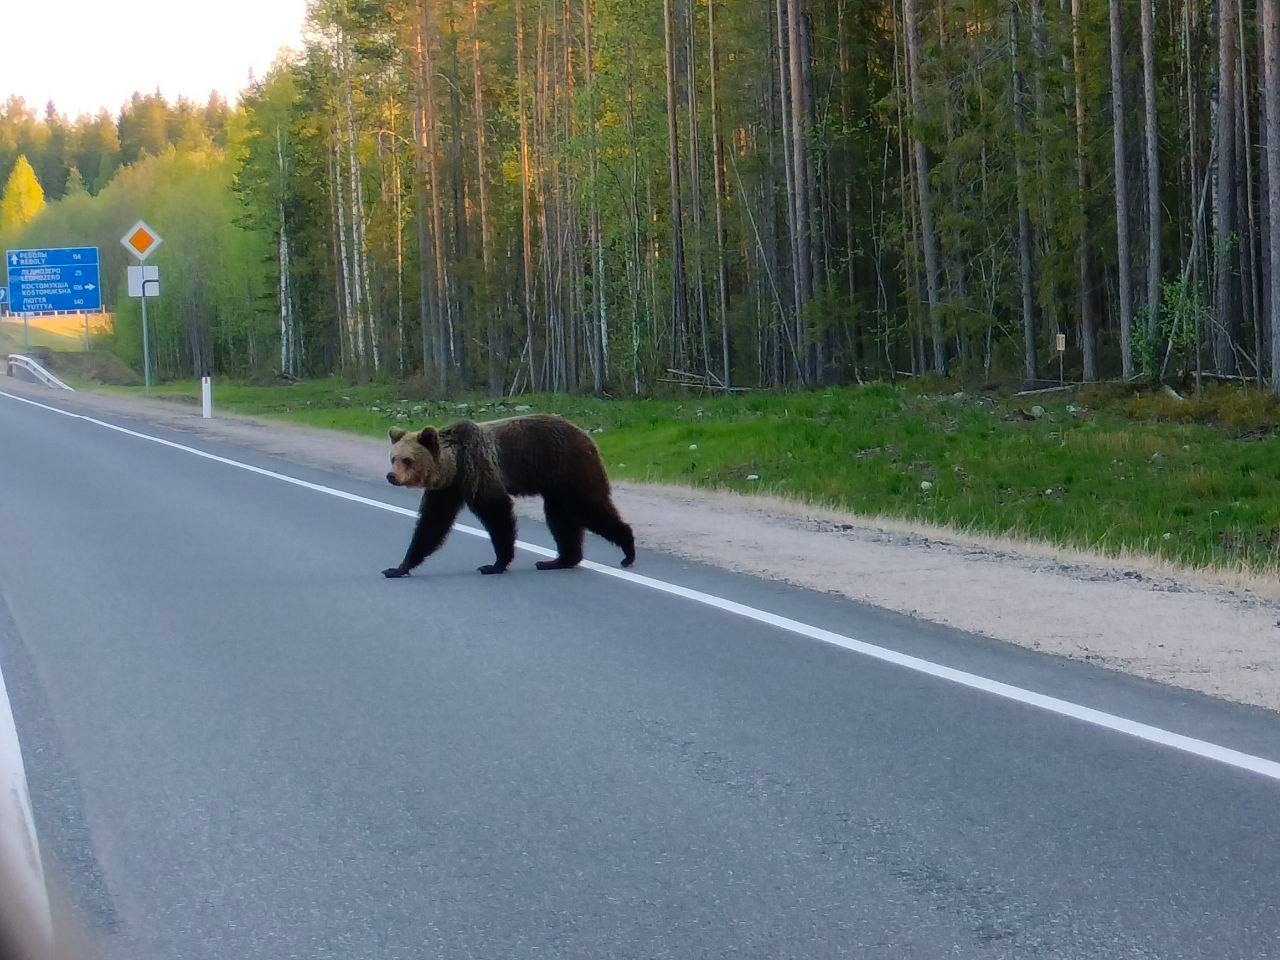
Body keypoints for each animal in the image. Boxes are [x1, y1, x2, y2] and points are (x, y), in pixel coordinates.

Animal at [381, 414, 637, 578]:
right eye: (393, 458)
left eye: (407, 460)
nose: (391, 476)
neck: (454, 467)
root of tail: (587, 436)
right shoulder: (447, 489)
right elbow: (432, 524)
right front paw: (398, 567)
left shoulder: (479, 471)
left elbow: (498, 513)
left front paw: (494, 564)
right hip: (556, 485)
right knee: (559, 518)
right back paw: (558, 560)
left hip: (571, 468)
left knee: (588, 507)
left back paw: (627, 549)